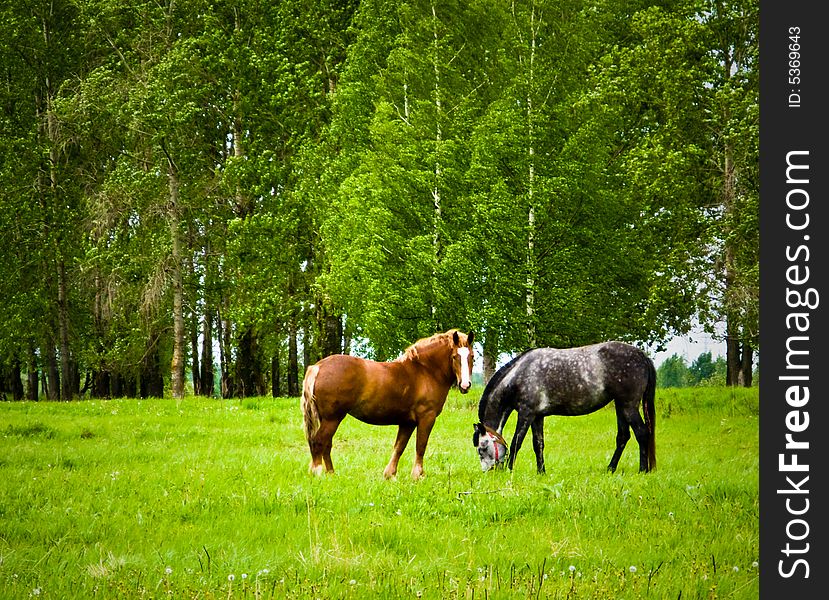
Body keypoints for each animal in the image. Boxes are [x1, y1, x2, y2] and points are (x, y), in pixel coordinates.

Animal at [300, 328, 476, 478]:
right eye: (455, 357)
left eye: (472, 357)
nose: (465, 385)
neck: (425, 371)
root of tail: (318, 366)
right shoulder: (427, 418)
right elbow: (421, 445)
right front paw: (418, 475)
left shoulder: (408, 422)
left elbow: (399, 447)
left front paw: (390, 474)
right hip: (332, 418)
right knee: (319, 441)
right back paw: (317, 473)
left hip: (327, 419)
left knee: (326, 444)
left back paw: (331, 474)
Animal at [476, 342, 656, 474]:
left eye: (482, 448)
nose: (488, 472)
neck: (519, 375)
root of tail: (642, 356)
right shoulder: (537, 416)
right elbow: (538, 444)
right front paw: (541, 472)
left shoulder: (526, 414)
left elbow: (516, 443)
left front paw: (509, 471)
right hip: (620, 406)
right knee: (623, 437)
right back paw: (610, 469)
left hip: (629, 406)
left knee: (642, 433)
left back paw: (642, 470)